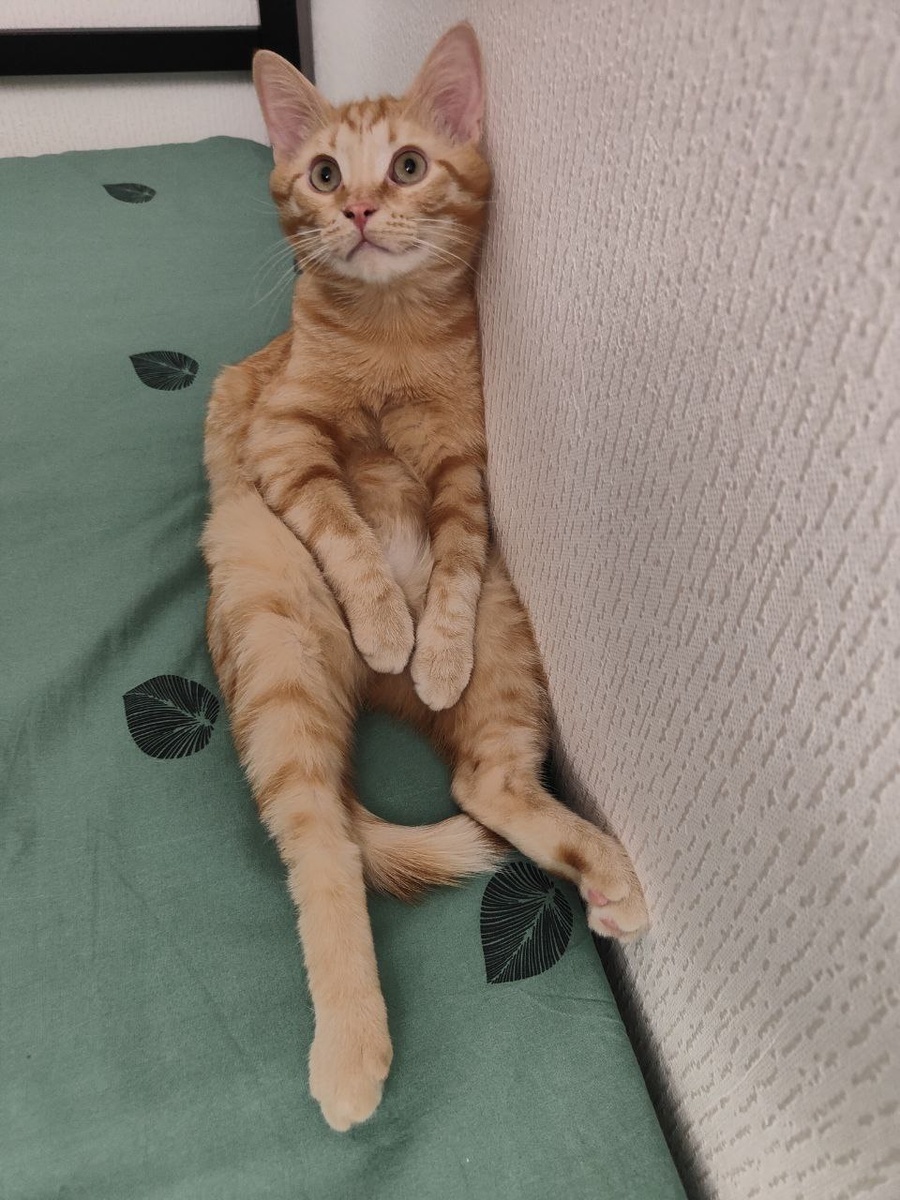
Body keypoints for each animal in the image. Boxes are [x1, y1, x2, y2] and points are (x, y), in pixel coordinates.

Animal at [201, 22, 648, 1133]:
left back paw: (604, 870)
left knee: (483, 780)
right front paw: (388, 619)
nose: (359, 209)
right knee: (322, 850)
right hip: (270, 616)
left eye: (406, 166)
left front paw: (430, 644)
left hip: (509, 636)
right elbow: (349, 532)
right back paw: (351, 1051)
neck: (389, 330)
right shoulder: (282, 441)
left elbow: (446, 559)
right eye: (324, 173)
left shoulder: (466, 470)